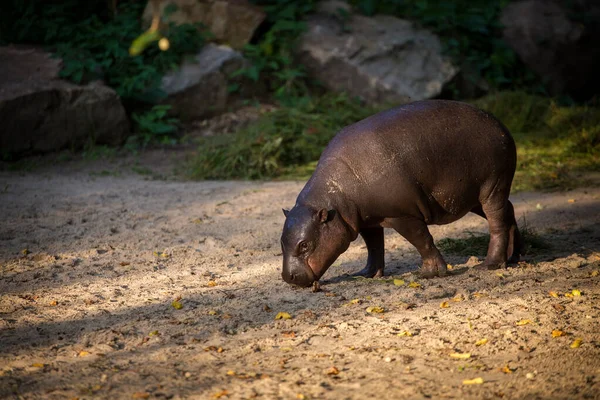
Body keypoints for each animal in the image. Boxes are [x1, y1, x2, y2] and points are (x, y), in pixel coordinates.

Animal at [282, 100, 520, 288]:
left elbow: (422, 240)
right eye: (281, 241)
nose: (287, 277)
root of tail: (499, 124)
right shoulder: (368, 220)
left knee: (497, 221)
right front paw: (366, 274)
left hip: (492, 186)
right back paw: (513, 257)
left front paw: (428, 274)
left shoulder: (402, 215)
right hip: (474, 197)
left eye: (304, 245)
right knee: (509, 211)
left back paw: (489, 265)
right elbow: (374, 247)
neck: (335, 199)